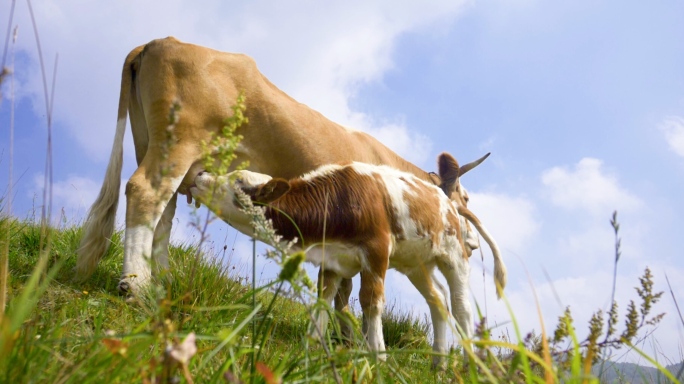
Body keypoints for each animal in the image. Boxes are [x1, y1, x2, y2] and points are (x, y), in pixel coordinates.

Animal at [190, 152, 504, 360]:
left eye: (238, 181)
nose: (200, 174)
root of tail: (449, 202)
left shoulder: (377, 252)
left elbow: (371, 302)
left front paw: (377, 354)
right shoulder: (332, 259)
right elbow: (323, 299)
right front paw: (312, 344)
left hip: (454, 257)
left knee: (461, 307)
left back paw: (469, 362)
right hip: (416, 263)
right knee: (437, 299)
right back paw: (439, 363)